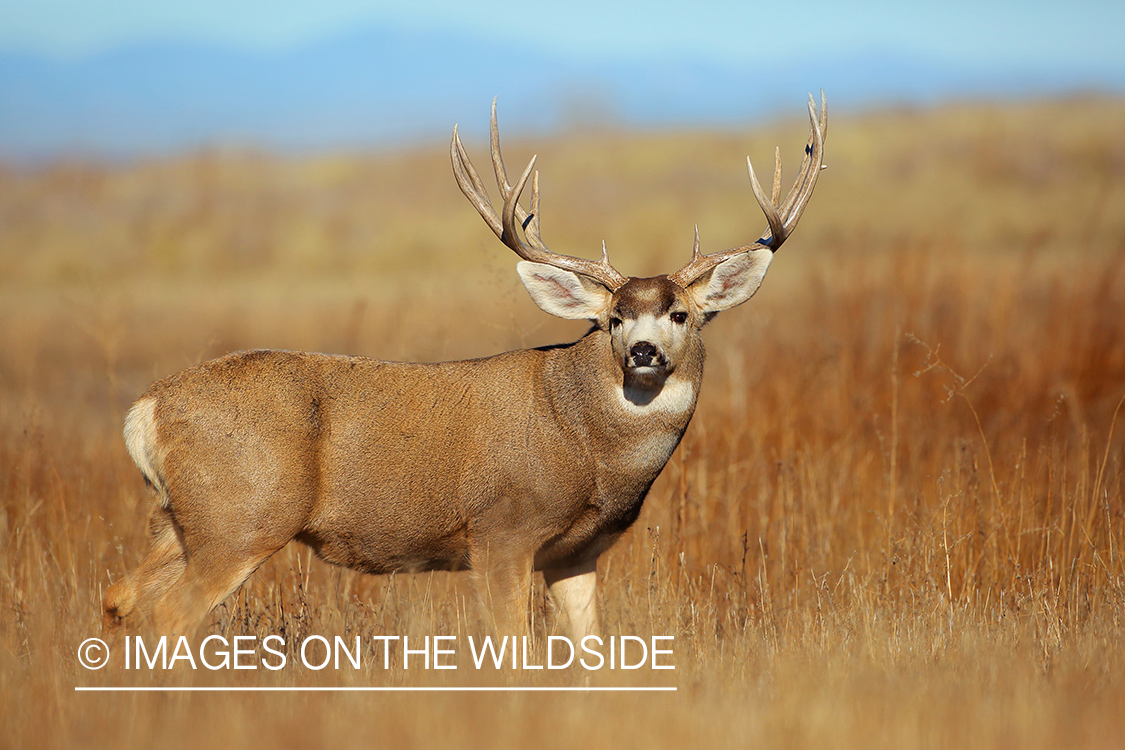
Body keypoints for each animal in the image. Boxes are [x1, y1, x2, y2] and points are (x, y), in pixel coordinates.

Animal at [102, 94, 827, 644]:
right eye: (614, 318)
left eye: (679, 313)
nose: (643, 352)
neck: (583, 441)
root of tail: (145, 410)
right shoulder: (500, 531)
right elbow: (512, 649)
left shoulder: (576, 553)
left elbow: (591, 651)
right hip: (241, 516)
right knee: (167, 616)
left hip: (178, 519)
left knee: (119, 599)